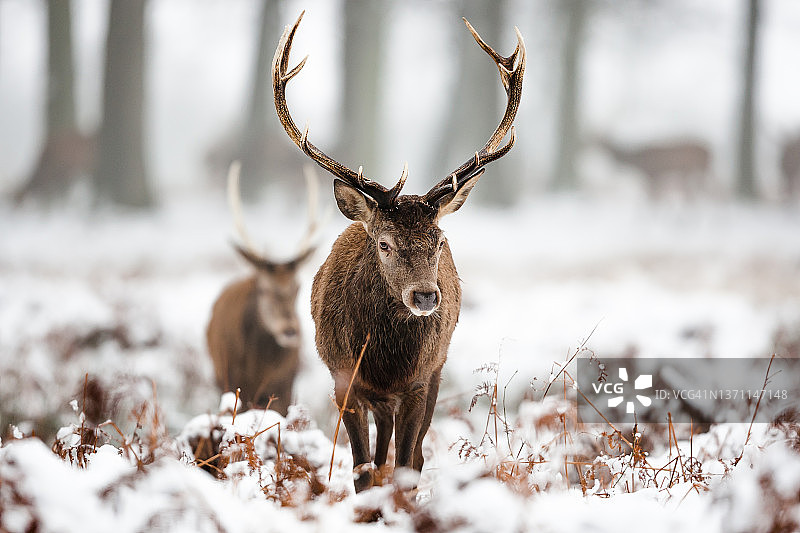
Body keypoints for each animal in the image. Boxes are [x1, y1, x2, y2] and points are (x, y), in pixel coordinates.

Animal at [205, 162, 320, 416]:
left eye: (298, 287)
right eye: (264, 289)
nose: (290, 330)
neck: (257, 369)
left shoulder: (284, 387)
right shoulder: (232, 382)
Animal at [271, 12, 525, 492]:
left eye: (440, 240)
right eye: (384, 242)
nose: (425, 296)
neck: (384, 361)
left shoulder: (420, 382)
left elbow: (406, 464)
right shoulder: (343, 380)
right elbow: (362, 469)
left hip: (436, 373)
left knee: (414, 453)